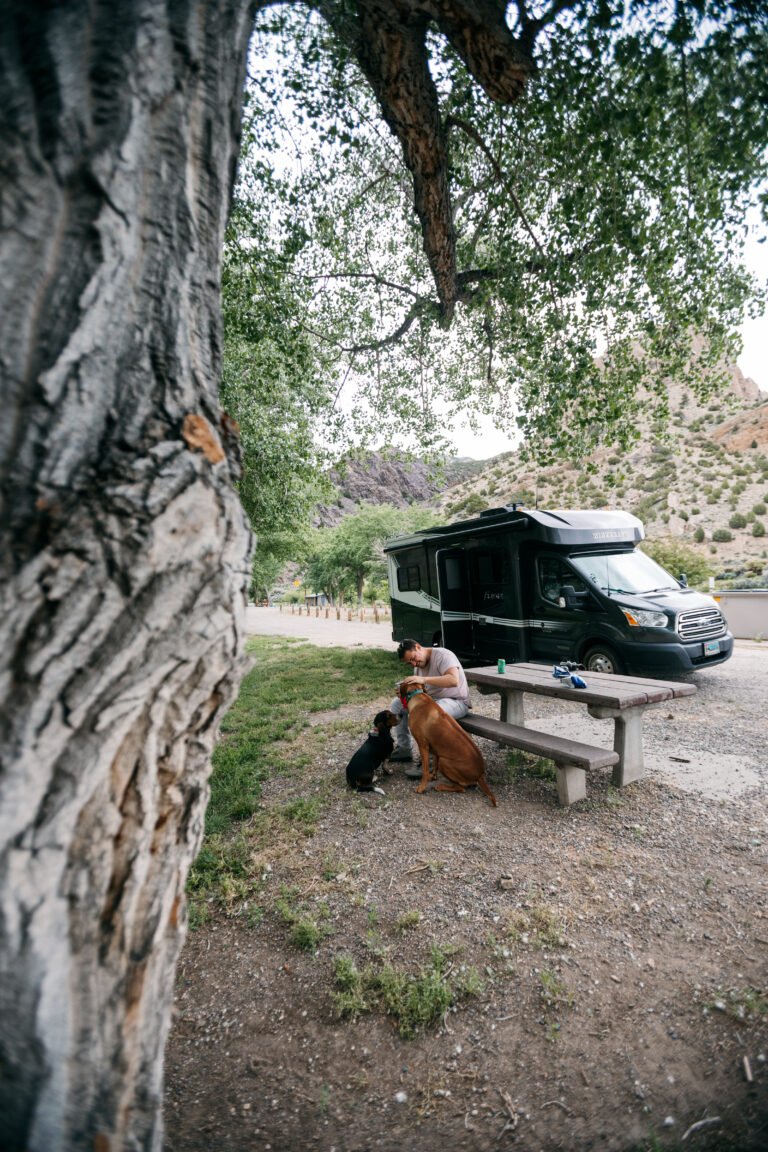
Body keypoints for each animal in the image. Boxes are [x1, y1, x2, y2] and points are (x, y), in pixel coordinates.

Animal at [396, 677, 499, 806]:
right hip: (442, 759)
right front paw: (433, 776)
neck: (417, 695)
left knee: (461, 788)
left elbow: (425, 770)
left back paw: (441, 786)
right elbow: (434, 764)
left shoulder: (423, 745)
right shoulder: (434, 748)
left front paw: (422, 787)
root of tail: (481, 774)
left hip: (444, 762)